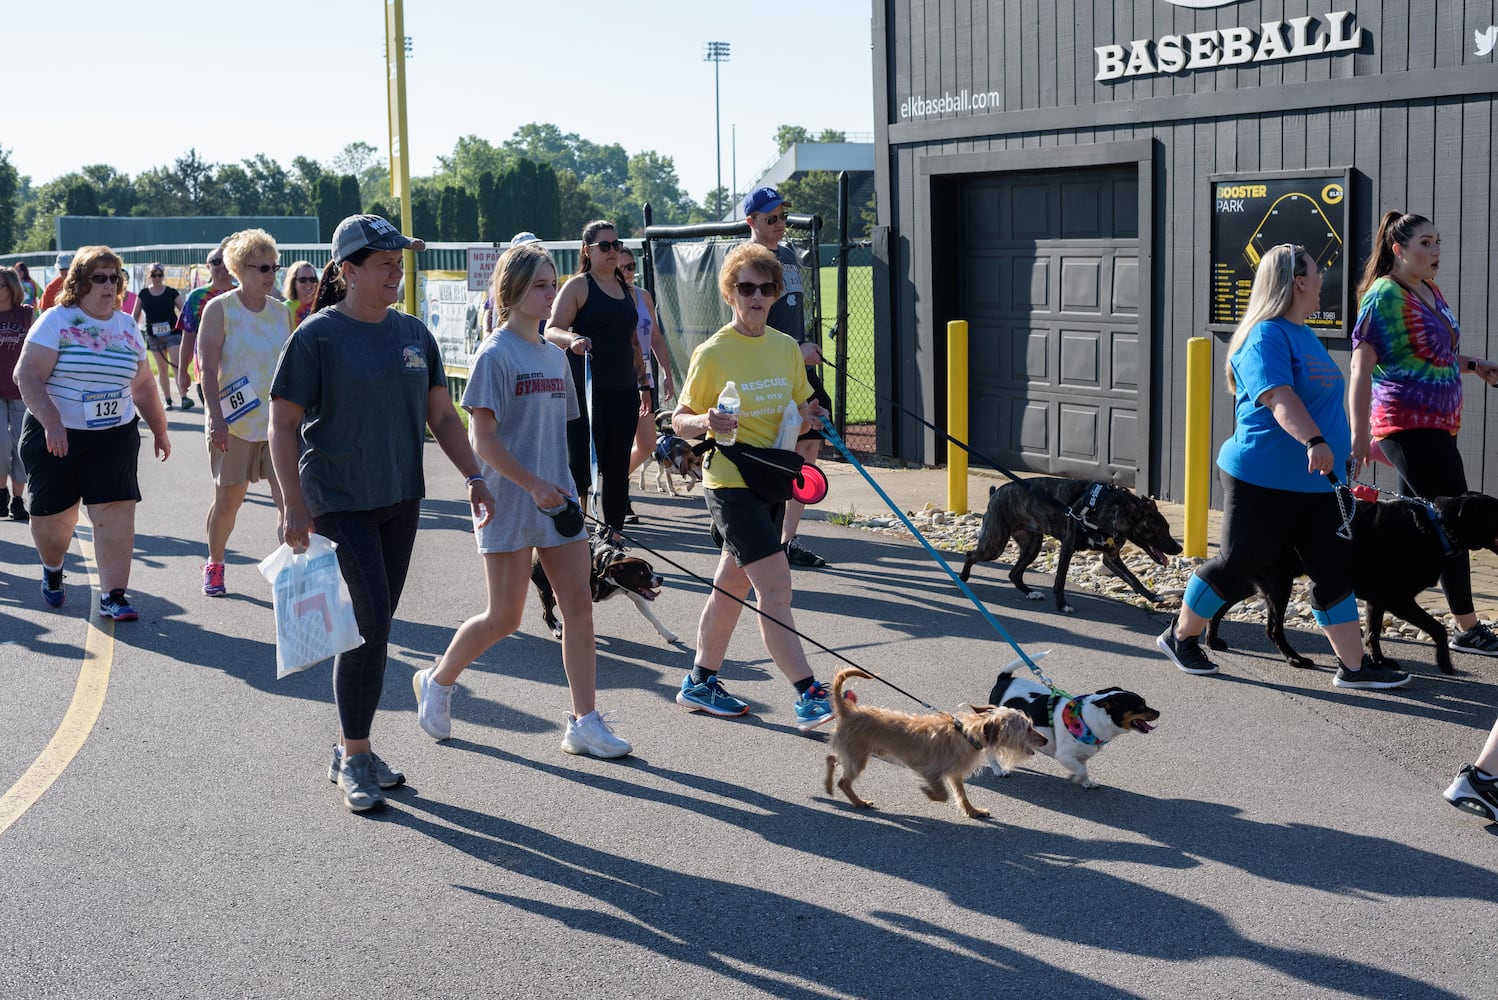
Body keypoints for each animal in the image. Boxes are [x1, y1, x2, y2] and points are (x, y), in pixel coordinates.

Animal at [958, 476, 1180, 610]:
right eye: (1159, 530)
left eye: (1168, 528)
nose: (1179, 548)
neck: (1115, 509)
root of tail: (996, 493)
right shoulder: (1068, 548)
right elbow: (1060, 581)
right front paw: (1062, 605)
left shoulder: (1111, 558)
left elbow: (1134, 579)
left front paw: (1152, 597)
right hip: (994, 544)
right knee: (971, 555)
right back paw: (963, 578)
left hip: (1032, 545)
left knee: (1014, 574)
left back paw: (1031, 593)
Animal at [1198, 491, 1498, 676]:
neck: (1437, 527)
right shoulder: (1398, 599)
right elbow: (1437, 629)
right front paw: (1445, 664)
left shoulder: (1377, 599)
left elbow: (1373, 633)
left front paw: (1379, 662)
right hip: (1279, 583)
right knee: (1272, 629)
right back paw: (1295, 659)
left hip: (1259, 578)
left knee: (1221, 600)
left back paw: (1212, 639)